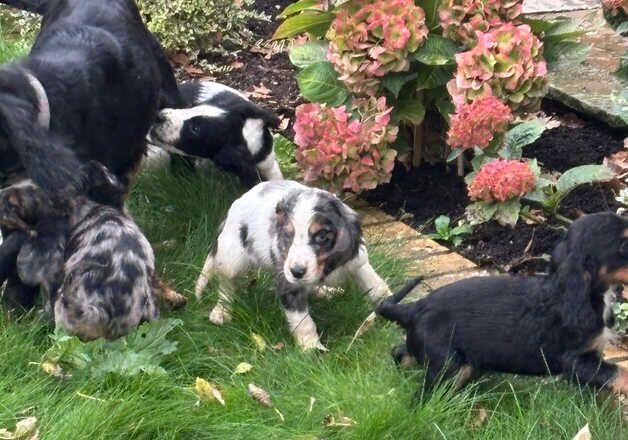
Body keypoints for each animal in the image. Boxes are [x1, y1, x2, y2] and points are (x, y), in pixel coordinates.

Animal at [195, 180, 392, 350]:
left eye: (322, 236)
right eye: (288, 235)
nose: (297, 272)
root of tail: (232, 210)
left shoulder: (357, 262)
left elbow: (378, 287)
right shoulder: (289, 284)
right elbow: (303, 322)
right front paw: (312, 348)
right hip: (231, 258)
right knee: (226, 285)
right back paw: (221, 311)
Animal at [376, 213, 628, 396]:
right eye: (623, 244)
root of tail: (413, 308)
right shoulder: (575, 361)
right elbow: (620, 373)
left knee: (399, 351)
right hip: (448, 366)